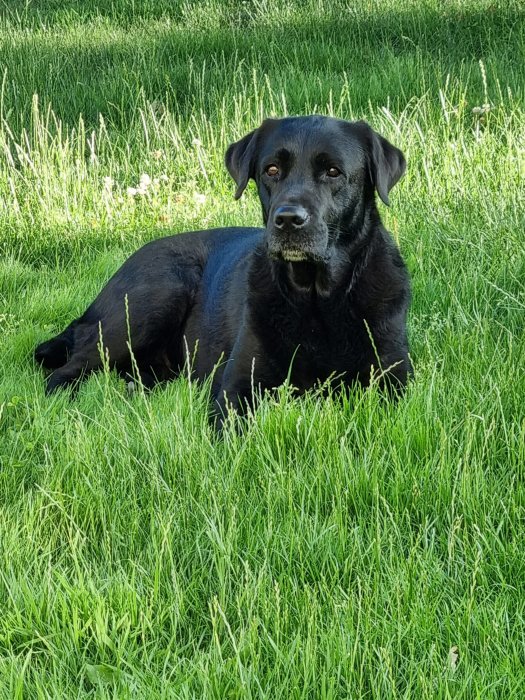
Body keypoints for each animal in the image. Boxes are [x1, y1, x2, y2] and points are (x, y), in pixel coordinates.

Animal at [34, 117, 412, 418]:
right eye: (271, 170)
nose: (288, 220)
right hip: (154, 297)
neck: (317, 299)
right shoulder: (237, 387)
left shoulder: (394, 382)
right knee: (65, 370)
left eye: (333, 172)